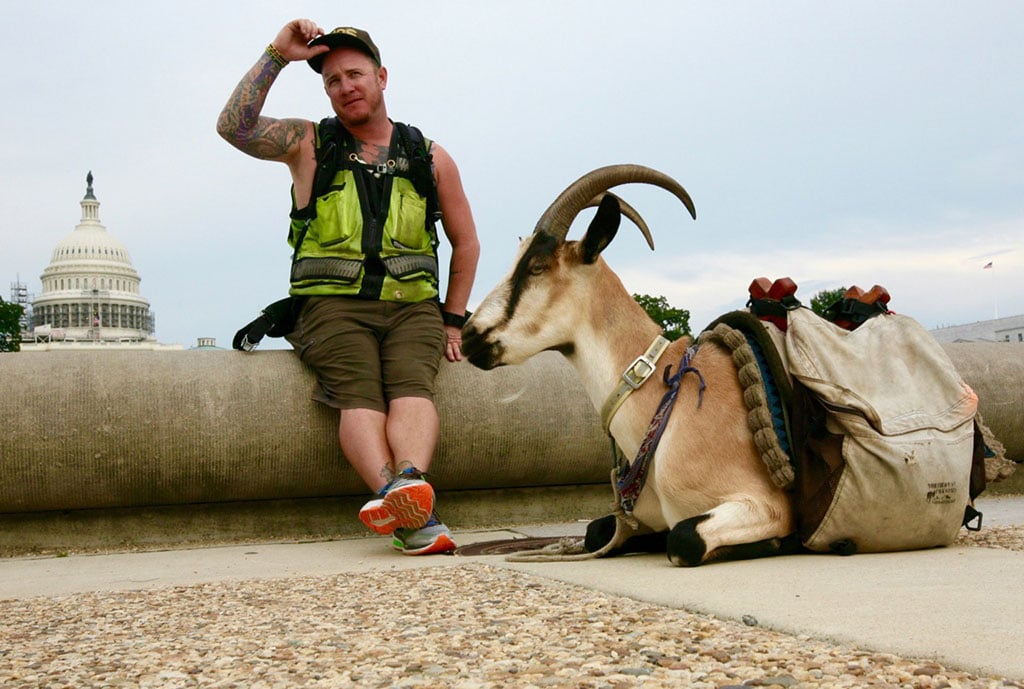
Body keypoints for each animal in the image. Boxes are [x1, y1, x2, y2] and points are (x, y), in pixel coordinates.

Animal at [461, 165, 796, 566]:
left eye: (538, 267)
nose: (469, 336)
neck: (670, 405)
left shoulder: (768, 506)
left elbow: (683, 538)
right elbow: (597, 531)